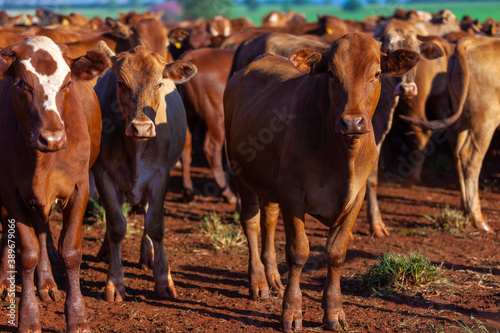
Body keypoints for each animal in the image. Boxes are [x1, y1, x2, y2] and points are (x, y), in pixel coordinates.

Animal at [0, 36, 109, 332]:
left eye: (68, 82)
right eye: (21, 83)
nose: (52, 139)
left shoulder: (80, 188)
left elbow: (70, 251)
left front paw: (77, 317)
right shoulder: (10, 190)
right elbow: (27, 252)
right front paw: (28, 318)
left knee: (42, 230)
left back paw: (47, 283)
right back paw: (6, 282)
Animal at [92, 41, 195, 300]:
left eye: (159, 83)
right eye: (120, 83)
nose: (141, 127)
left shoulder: (160, 176)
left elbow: (155, 226)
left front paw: (163, 280)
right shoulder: (103, 175)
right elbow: (116, 226)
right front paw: (114, 283)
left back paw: (147, 254)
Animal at [224, 33, 418, 330]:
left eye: (376, 73)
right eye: (331, 74)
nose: (352, 122)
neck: (342, 156)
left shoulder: (356, 198)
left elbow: (336, 254)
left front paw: (334, 312)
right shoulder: (293, 194)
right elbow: (298, 252)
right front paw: (292, 312)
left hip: (269, 181)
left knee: (269, 219)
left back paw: (272, 276)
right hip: (240, 172)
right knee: (252, 222)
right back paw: (258, 281)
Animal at [402, 37, 500, 231]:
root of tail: (469, 41)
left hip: (462, 117)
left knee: (458, 153)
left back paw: (466, 208)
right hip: (485, 121)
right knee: (472, 161)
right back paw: (478, 218)